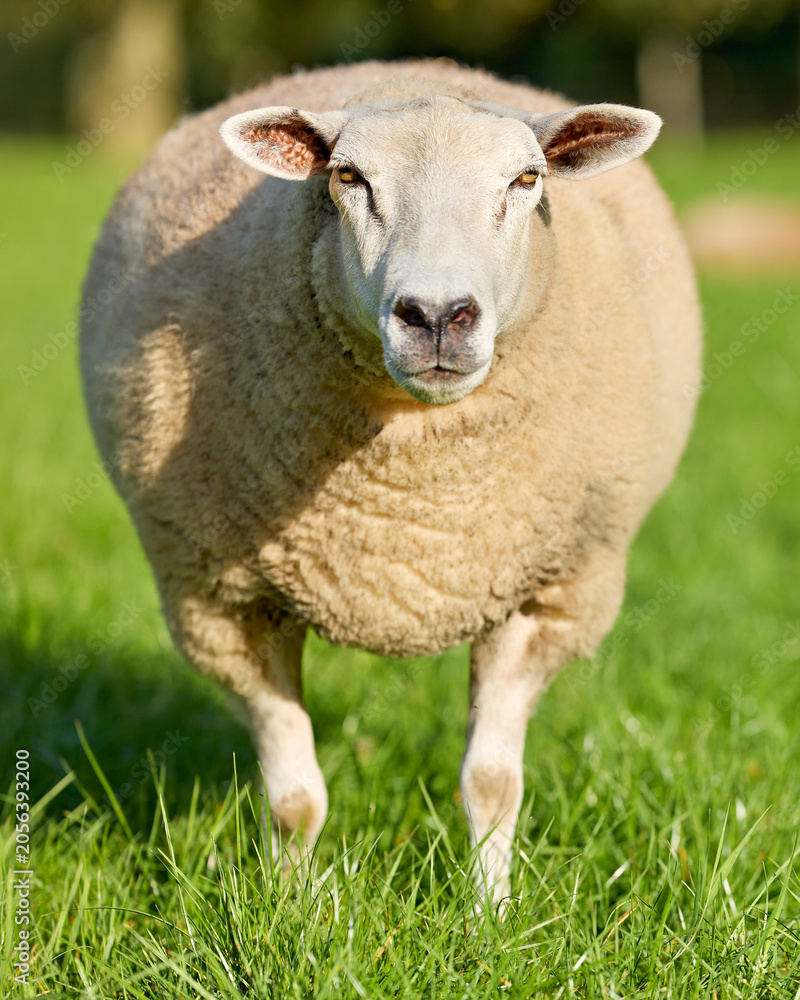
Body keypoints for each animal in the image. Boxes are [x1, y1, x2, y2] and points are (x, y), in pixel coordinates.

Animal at [80, 58, 701, 905]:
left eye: (526, 179)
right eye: (349, 177)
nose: (437, 316)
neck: (412, 508)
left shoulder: (544, 596)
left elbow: (492, 783)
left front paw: (490, 915)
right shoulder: (225, 607)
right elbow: (295, 797)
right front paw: (292, 910)